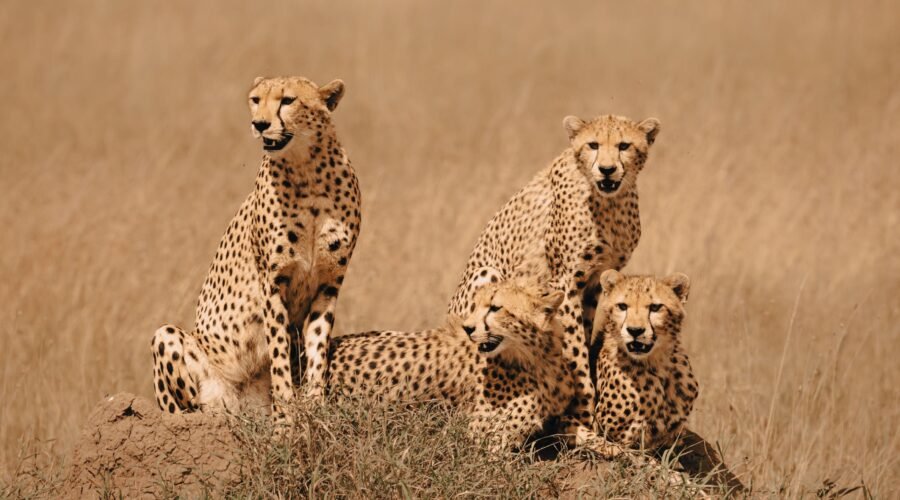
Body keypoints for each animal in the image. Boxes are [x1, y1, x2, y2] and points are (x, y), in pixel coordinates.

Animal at [151, 76, 361, 422]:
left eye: (287, 100)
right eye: (255, 100)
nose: (259, 124)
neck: (307, 169)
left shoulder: (329, 283)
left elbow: (317, 347)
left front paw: (314, 405)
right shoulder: (271, 282)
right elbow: (278, 353)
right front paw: (286, 417)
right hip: (169, 341)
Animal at [447, 114, 661, 453]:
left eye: (624, 145)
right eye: (593, 145)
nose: (607, 169)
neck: (608, 201)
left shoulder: (594, 284)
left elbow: (583, 338)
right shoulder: (566, 282)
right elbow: (575, 353)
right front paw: (583, 415)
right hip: (488, 275)